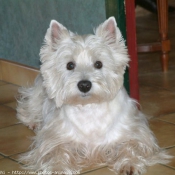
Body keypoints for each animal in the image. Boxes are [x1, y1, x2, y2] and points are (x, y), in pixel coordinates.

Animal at [16, 16, 171, 175]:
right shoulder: (54, 138)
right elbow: (57, 152)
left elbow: (131, 146)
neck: (90, 108)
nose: (84, 85)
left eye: (98, 64)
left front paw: (129, 164)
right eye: (70, 65)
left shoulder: (136, 133)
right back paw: (34, 123)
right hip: (38, 95)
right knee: (26, 108)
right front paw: (57, 168)